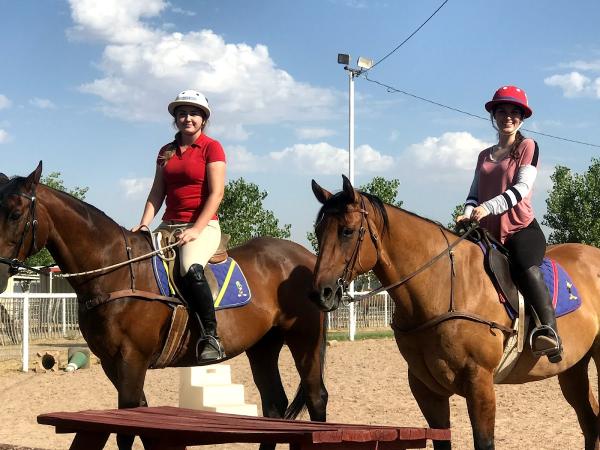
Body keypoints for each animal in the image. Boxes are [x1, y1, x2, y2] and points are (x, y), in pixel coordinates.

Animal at [0, 164, 328, 450]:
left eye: (15, 214)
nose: (1, 271)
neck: (116, 270)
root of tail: (307, 258)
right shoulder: (111, 363)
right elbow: (144, 423)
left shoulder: (132, 358)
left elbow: (127, 431)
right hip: (263, 345)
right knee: (274, 406)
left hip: (304, 340)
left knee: (316, 398)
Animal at [312, 175, 600, 450]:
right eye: (318, 231)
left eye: (347, 231)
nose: (320, 293)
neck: (443, 288)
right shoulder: (427, 389)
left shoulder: (479, 383)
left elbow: (484, 442)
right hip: (573, 367)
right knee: (590, 422)